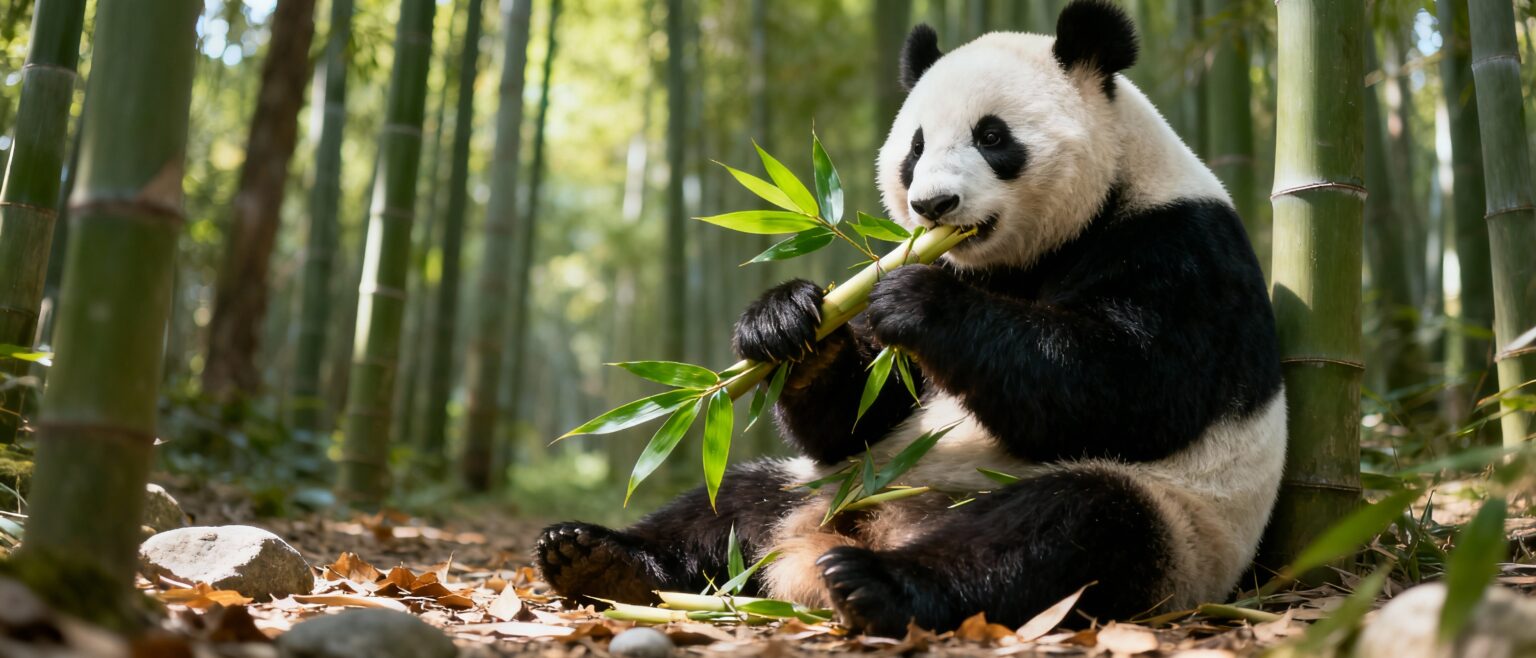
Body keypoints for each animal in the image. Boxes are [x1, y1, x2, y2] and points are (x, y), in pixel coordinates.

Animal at [535, 0, 1286, 637]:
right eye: (915, 148)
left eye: (992, 136)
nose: (933, 206)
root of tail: (851, 528)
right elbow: (863, 411)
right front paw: (787, 322)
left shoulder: (1180, 249)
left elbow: (1130, 388)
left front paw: (918, 301)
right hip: (823, 481)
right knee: (733, 501)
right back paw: (599, 559)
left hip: (1178, 529)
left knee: (1066, 529)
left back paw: (877, 585)